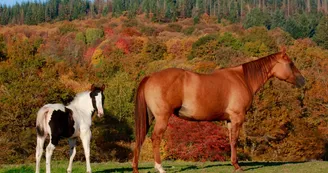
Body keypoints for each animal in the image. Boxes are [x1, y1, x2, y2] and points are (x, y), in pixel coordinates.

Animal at [132, 49, 306, 173]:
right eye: (290, 64)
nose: (303, 80)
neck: (242, 79)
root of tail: (150, 77)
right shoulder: (237, 117)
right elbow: (235, 141)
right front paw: (237, 166)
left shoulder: (229, 120)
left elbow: (231, 140)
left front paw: (234, 163)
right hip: (162, 118)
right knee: (155, 138)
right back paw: (160, 168)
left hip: (149, 118)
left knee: (141, 138)